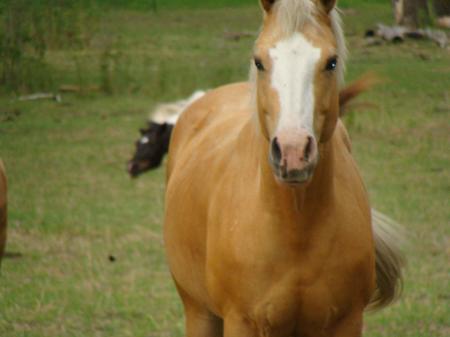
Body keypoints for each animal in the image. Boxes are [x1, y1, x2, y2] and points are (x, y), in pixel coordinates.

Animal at [163, 0, 402, 336]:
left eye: (331, 62)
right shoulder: (241, 323)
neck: (295, 230)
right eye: (259, 61)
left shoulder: (348, 321)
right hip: (199, 312)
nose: (292, 152)